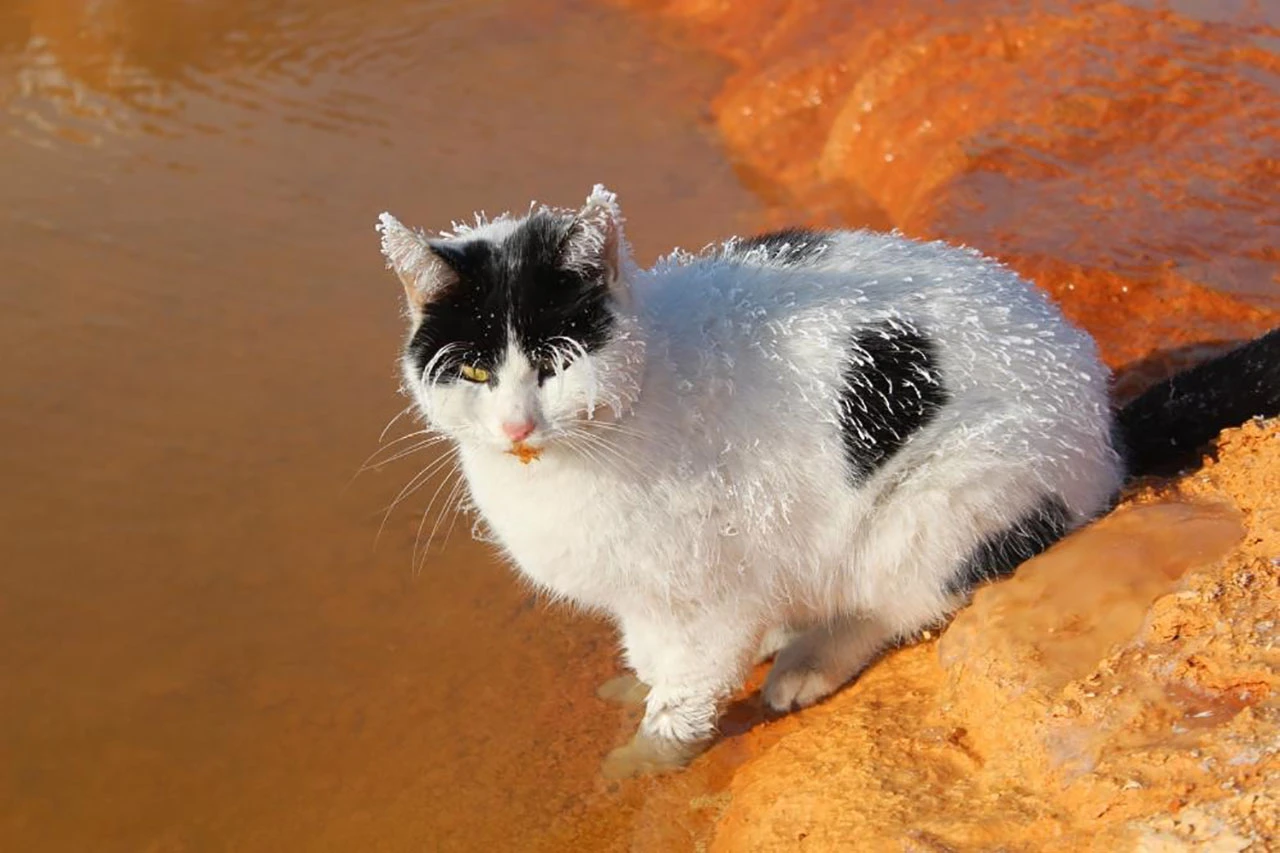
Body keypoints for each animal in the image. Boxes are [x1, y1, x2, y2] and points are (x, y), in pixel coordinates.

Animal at [373, 185, 1280, 778]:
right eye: (475, 370)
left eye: (556, 363)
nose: (516, 426)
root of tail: (1104, 413)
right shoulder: (645, 593)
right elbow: (651, 647)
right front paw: (639, 681)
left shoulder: (714, 592)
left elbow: (688, 688)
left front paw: (644, 758)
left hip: (943, 499)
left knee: (899, 601)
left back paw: (805, 660)